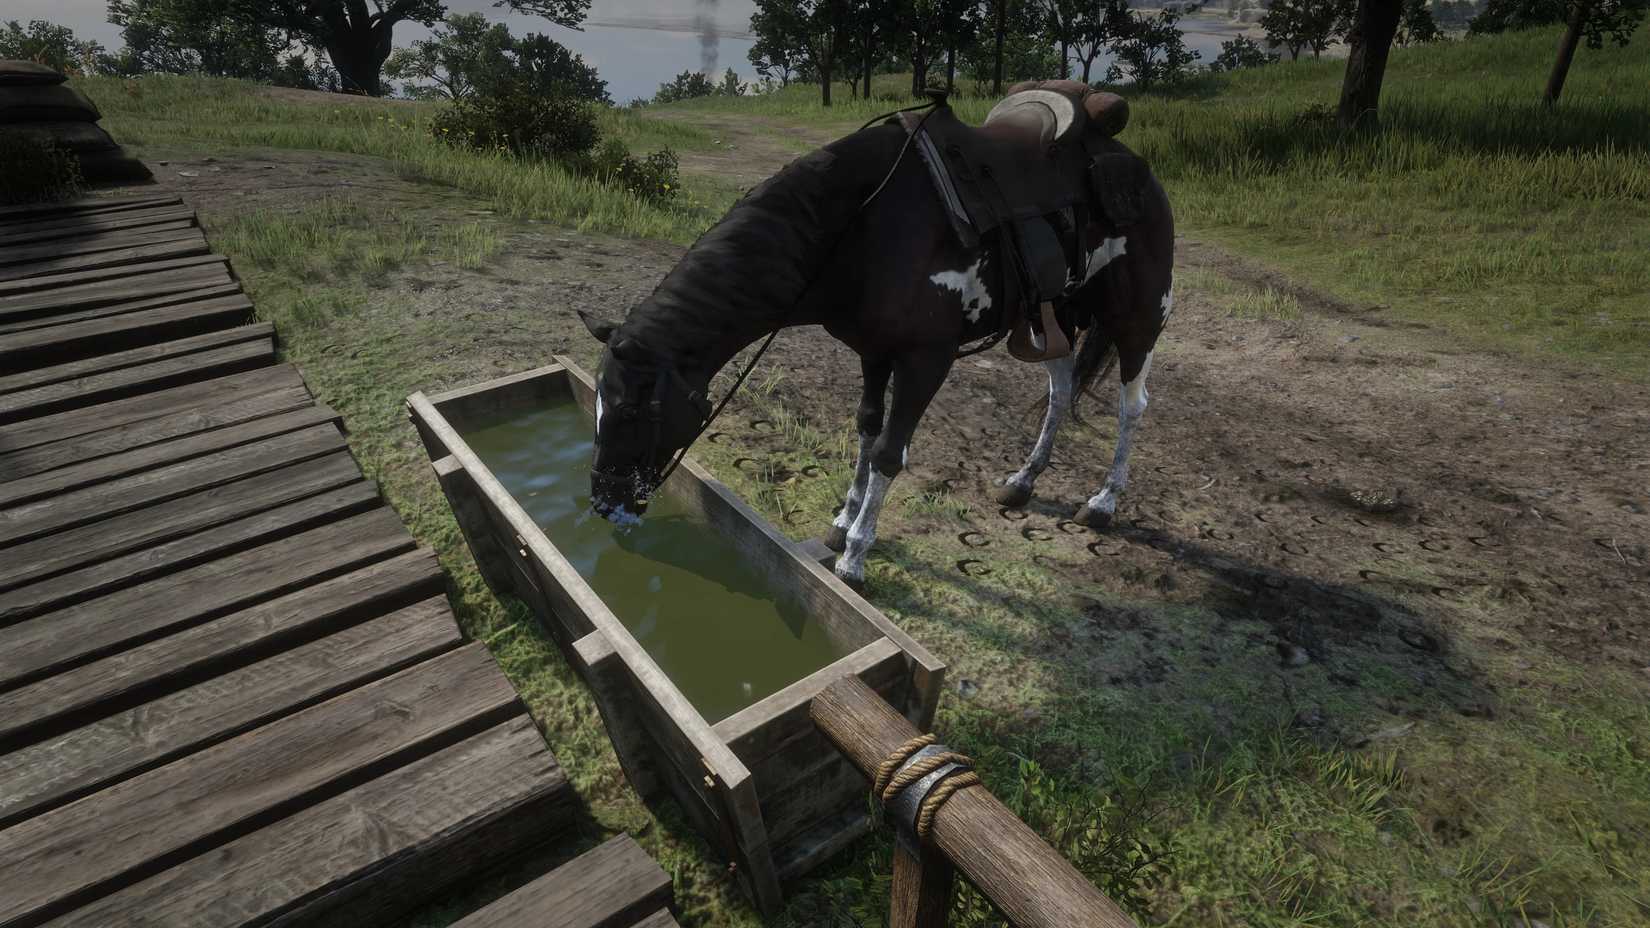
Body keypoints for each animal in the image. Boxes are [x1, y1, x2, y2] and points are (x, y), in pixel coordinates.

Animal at [577, 82, 1175, 589]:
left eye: (633, 412)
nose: (604, 503)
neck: (860, 229)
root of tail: (1134, 166)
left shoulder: (926, 358)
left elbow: (890, 451)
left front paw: (855, 556)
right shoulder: (872, 350)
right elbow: (866, 427)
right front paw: (843, 520)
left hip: (1139, 316)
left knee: (1133, 403)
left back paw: (1103, 503)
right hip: (1049, 317)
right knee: (1061, 387)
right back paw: (1024, 480)